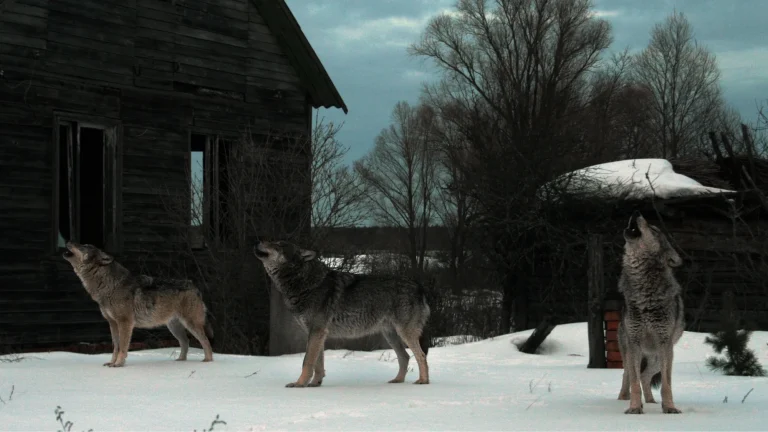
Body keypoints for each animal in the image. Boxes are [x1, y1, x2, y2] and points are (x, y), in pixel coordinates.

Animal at [62, 242, 214, 367]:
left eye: (84, 246)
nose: (68, 241)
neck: (110, 285)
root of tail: (194, 286)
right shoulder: (112, 323)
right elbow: (116, 346)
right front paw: (112, 363)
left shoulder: (125, 322)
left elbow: (123, 346)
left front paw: (118, 364)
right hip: (174, 327)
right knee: (186, 342)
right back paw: (181, 360)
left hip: (191, 324)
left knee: (206, 341)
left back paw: (207, 361)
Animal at [253, 240, 431, 387]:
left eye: (279, 245)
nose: (259, 241)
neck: (306, 283)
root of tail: (419, 286)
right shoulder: (317, 334)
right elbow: (318, 363)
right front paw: (315, 383)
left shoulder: (316, 331)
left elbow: (307, 361)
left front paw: (299, 384)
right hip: (391, 336)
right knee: (405, 357)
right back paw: (397, 380)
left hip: (404, 334)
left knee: (421, 355)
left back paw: (423, 381)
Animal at [616, 212, 685, 414]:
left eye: (654, 229)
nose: (636, 212)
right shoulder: (635, 343)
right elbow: (634, 382)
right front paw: (634, 408)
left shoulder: (664, 344)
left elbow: (666, 384)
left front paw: (669, 407)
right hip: (630, 352)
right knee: (628, 375)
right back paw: (624, 399)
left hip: (657, 358)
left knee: (645, 376)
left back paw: (652, 402)